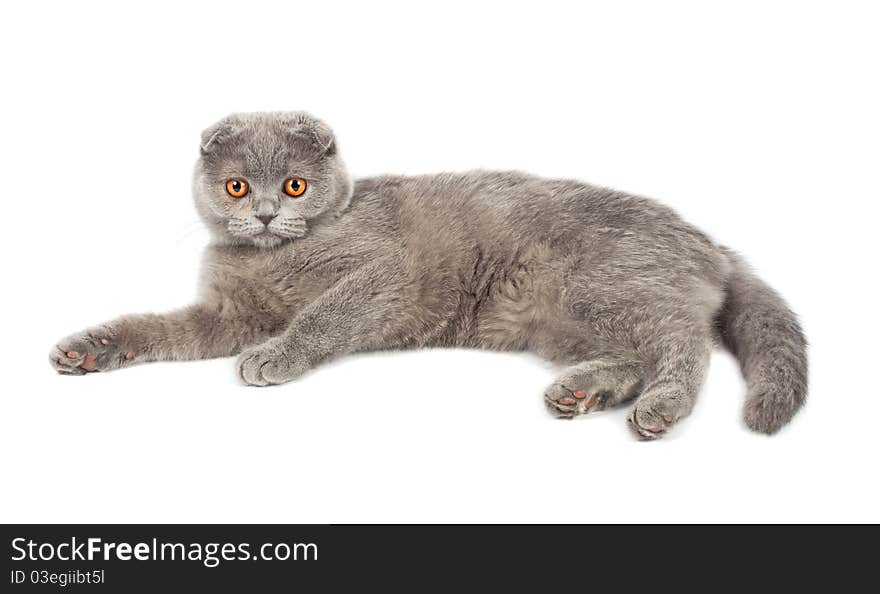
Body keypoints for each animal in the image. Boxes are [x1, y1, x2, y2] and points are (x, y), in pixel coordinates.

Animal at [46, 111, 804, 438]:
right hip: (564, 319)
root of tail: (712, 245)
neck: (271, 259)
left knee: (683, 343)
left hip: (602, 285)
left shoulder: (383, 273)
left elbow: (323, 314)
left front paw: (274, 356)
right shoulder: (226, 314)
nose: (262, 214)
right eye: (237, 187)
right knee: (637, 352)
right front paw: (88, 347)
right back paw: (580, 392)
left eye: (293, 186)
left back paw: (660, 406)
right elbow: (152, 327)